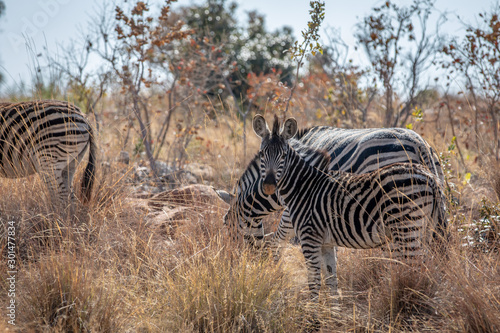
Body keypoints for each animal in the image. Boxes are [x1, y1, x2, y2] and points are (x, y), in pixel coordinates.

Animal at [254, 113, 446, 298]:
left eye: (283, 155)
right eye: (262, 153)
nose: (269, 185)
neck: (303, 186)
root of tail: (430, 176)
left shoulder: (308, 236)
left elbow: (313, 280)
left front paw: (312, 308)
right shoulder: (326, 242)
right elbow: (331, 279)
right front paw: (332, 307)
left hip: (405, 227)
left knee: (414, 266)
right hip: (424, 227)